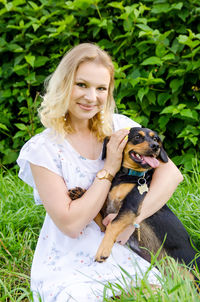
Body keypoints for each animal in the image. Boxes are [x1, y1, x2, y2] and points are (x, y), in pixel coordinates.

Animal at [68, 127, 199, 274]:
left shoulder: (130, 208)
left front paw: (103, 251)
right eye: (137, 137)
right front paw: (79, 193)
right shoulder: (105, 221)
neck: (128, 177)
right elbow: (97, 216)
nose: (156, 146)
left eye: (155, 138)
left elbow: (113, 224)